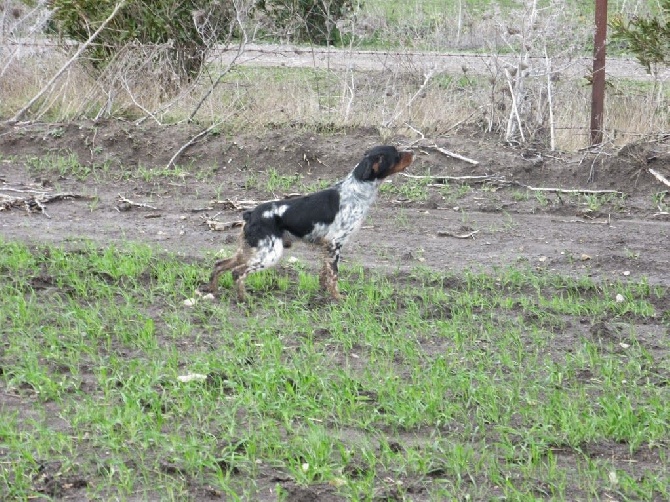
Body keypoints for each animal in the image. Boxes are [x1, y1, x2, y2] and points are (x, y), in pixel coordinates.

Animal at [207, 146, 412, 302]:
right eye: (397, 153)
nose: (413, 153)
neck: (357, 190)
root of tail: (251, 214)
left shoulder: (326, 247)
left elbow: (324, 274)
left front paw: (324, 292)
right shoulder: (335, 244)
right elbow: (334, 276)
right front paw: (338, 298)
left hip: (249, 250)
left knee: (219, 264)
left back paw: (213, 292)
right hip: (270, 253)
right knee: (238, 273)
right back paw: (244, 299)